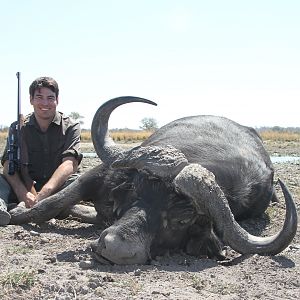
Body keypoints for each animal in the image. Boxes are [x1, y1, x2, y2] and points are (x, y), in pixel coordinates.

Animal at [9, 96, 298, 264]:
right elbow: (49, 204)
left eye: (182, 221)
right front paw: (16, 213)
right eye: (135, 194)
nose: (115, 248)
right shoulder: (99, 175)